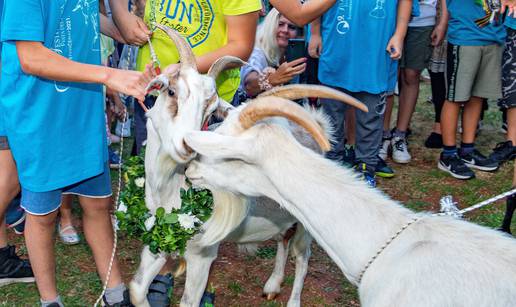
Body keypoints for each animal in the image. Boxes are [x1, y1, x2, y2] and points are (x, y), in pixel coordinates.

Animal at [130, 24, 362, 307]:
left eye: (211, 112)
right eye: (171, 91)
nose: (189, 145)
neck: (169, 189)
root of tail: (312, 128)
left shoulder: (202, 254)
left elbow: (189, 302)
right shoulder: (157, 237)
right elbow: (136, 289)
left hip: (306, 223)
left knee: (302, 257)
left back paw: (293, 300)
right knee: (284, 240)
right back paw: (272, 285)